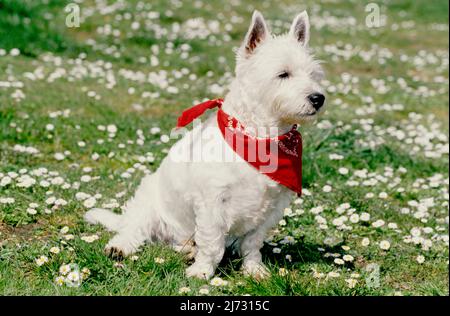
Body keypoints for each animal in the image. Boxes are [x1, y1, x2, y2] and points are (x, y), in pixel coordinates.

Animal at [85, 9, 324, 278]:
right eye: (283, 74)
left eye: (314, 74)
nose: (318, 98)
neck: (260, 137)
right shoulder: (212, 202)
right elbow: (213, 243)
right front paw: (202, 271)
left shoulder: (271, 208)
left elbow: (252, 243)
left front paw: (254, 270)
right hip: (148, 203)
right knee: (134, 229)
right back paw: (120, 247)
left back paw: (188, 250)